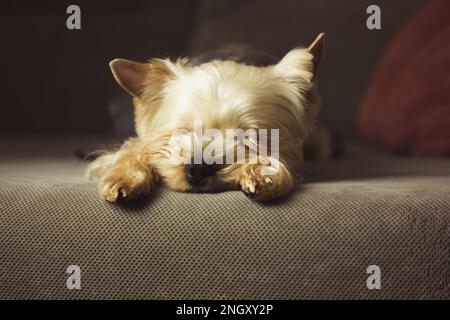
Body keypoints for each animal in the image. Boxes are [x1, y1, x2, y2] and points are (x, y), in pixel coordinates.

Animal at [87, 33, 330, 201]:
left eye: (252, 138)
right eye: (181, 132)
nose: (198, 168)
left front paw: (261, 173)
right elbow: (133, 150)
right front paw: (124, 177)